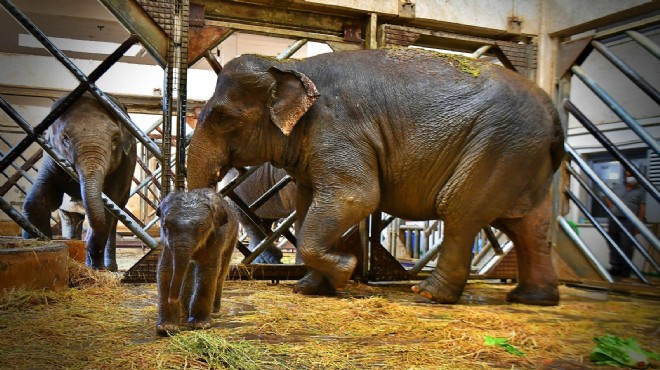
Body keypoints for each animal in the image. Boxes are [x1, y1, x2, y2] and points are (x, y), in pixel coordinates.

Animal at [22, 94, 136, 270]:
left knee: (113, 220)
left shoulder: (124, 166)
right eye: (65, 139)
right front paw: (38, 243)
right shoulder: (51, 156)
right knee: (70, 218)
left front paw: (96, 269)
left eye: (115, 139)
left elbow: (106, 212)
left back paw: (109, 268)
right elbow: (37, 201)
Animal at [156, 188, 238, 336]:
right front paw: (167, 328)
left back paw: (214, 312)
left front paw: (200, 325)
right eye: (165, 225)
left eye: (201, 228)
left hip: (233, 237)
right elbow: (166, 270)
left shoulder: (217, 236)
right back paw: (185, 313)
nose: (172, 298)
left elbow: (207, 271)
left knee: (221, 272)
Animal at [184, 47, 564, 304]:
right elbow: (308, 207)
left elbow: (356, 196)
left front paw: (345, 270)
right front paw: (309, 288)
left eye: (222, 117)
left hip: (499, 144)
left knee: (460, 209)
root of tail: (552, 111)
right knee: (528, 224)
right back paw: (531, 299)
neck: (293, 66)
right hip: (521, 156)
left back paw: (428, 294)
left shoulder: (338, 129)